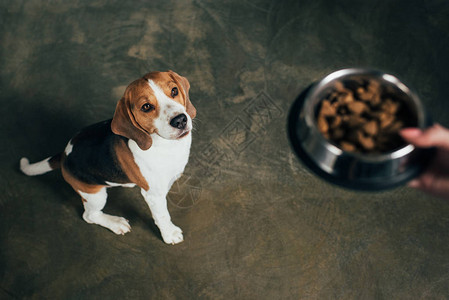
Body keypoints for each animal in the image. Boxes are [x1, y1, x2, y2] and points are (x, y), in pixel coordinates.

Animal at [19, 70, 194, 244]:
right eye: (146, 107)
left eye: (174, 91)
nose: (180, 120)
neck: (165, 145)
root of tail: (64, 154)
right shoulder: (153, 195)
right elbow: (162, 215)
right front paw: (170, 234)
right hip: (95, 195)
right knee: (89, 216)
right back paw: (115, 223)